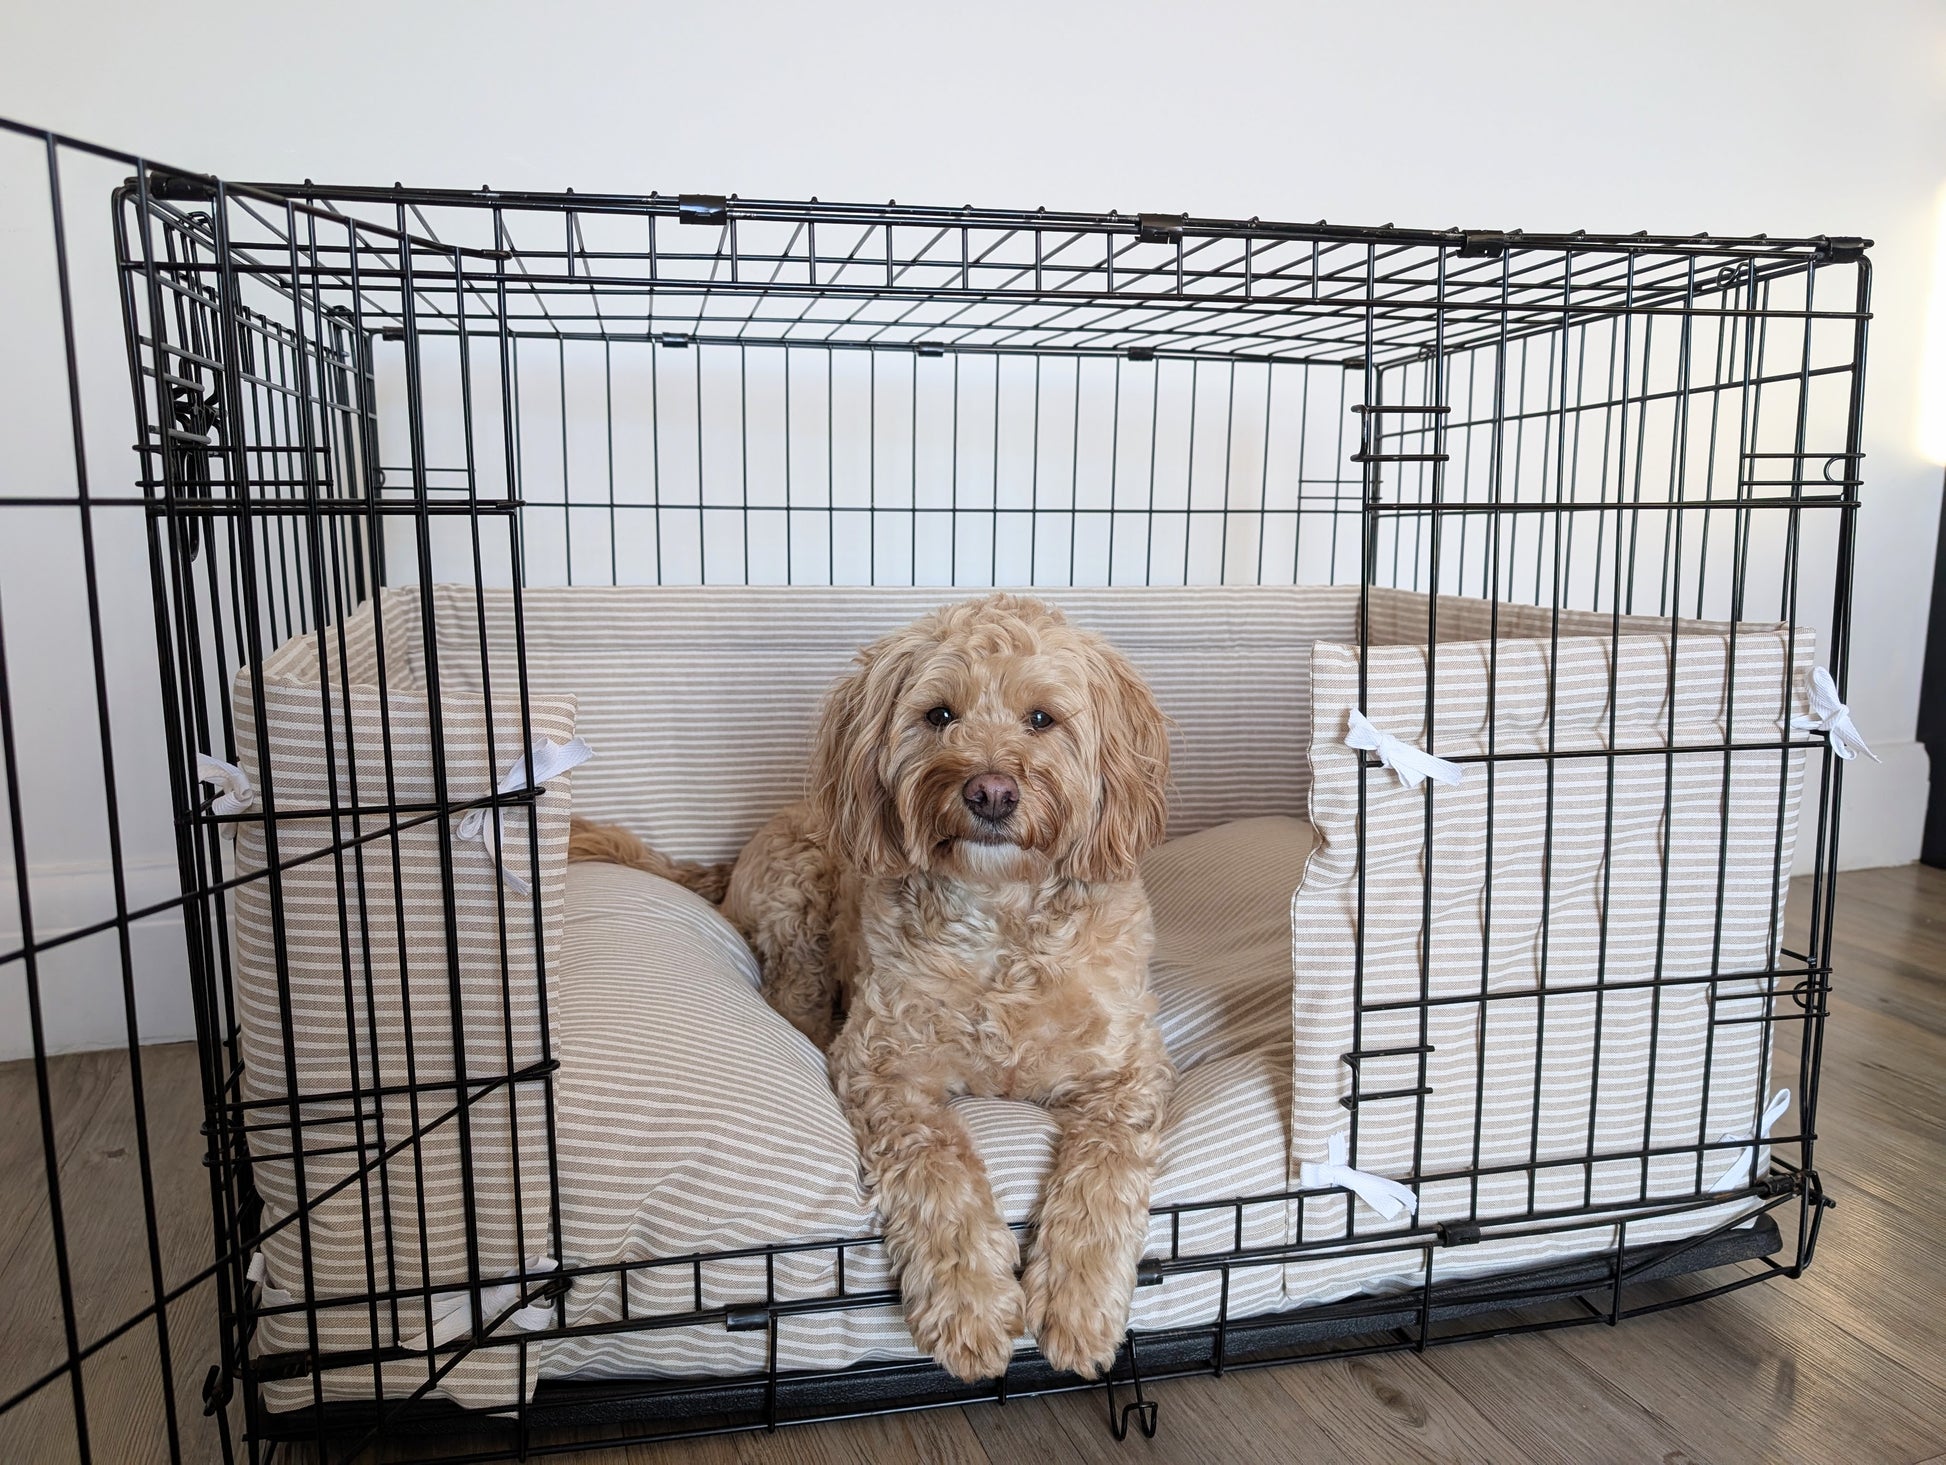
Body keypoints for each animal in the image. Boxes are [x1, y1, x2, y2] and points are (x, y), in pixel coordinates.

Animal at [568, 591, 1175, 1385]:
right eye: (939, 714)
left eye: (1042, 717)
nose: (989, 791)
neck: (1001, 921)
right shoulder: (884, 1065)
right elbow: (938, 1170)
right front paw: (971, 1304)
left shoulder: (1126, 1072)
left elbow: (1102, 1173)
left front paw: (1078, 1306)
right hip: (800, 896)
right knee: (792, 996)